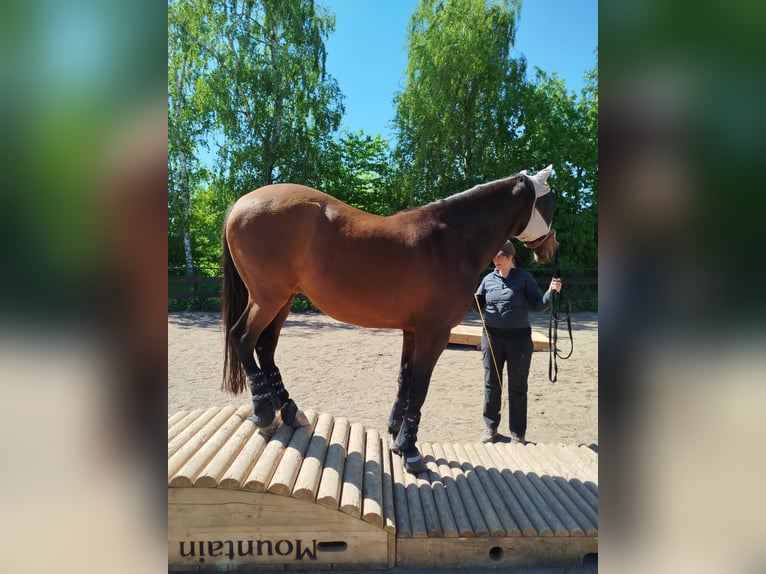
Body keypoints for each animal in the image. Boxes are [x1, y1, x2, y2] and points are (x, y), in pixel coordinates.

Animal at [220, 165, 558, 473]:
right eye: (550, 202)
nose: (551, 249)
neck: (449, 242)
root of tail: (240, 205)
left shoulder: (412, 331)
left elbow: (405, 379)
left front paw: (396, 432)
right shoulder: (435, 333)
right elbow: (419, 387)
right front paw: (410, 450)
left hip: (283, 300)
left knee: (265, 348)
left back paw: (289, 410)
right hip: (268, 299)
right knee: (242, 338)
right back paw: (264, 411)